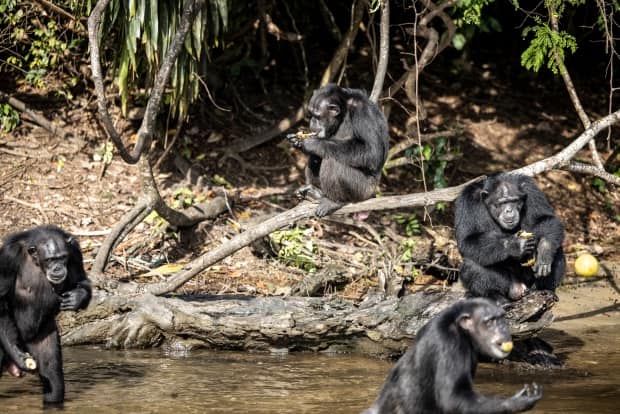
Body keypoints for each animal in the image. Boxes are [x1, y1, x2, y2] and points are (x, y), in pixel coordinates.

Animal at [0, 225, 91, 406]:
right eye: (50, 260)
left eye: (62, 257)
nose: (57, 268)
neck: (35, 260)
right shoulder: (7, 257)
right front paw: (18, 355)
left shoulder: (75, 251)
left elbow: (81, 279)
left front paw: (77, 297)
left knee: (52, 378)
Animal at [286, 82, 388, 217]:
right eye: (311, 114)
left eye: (317, 116)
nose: (312, 121)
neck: (344, 111)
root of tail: (372, 193)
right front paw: (296, 140)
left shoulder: (364, 113)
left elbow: (372, 151)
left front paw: (313, 143)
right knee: (316, 156)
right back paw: (314, 191)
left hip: (364, 190)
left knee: (333, 162)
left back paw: (334, 201)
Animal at [364, 300, 544, 412]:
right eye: (490, 321)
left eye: (501, 318)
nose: (503, 328)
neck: (461, 329)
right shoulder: (449, 341)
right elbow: (454, 397)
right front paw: (517, 402)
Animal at [452, 173, 564, 302]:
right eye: (501, 203)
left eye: (514, 201)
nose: (509, 210)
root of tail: (522, 288)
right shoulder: (467, 200)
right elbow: (467, 239)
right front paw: (515, 244)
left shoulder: (531, 189)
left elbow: (545, 217)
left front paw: (544, 251)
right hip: (510, 287)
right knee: (471, 263)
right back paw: (497, 298)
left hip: (530, 283)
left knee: (558, 250)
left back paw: (545, 290)